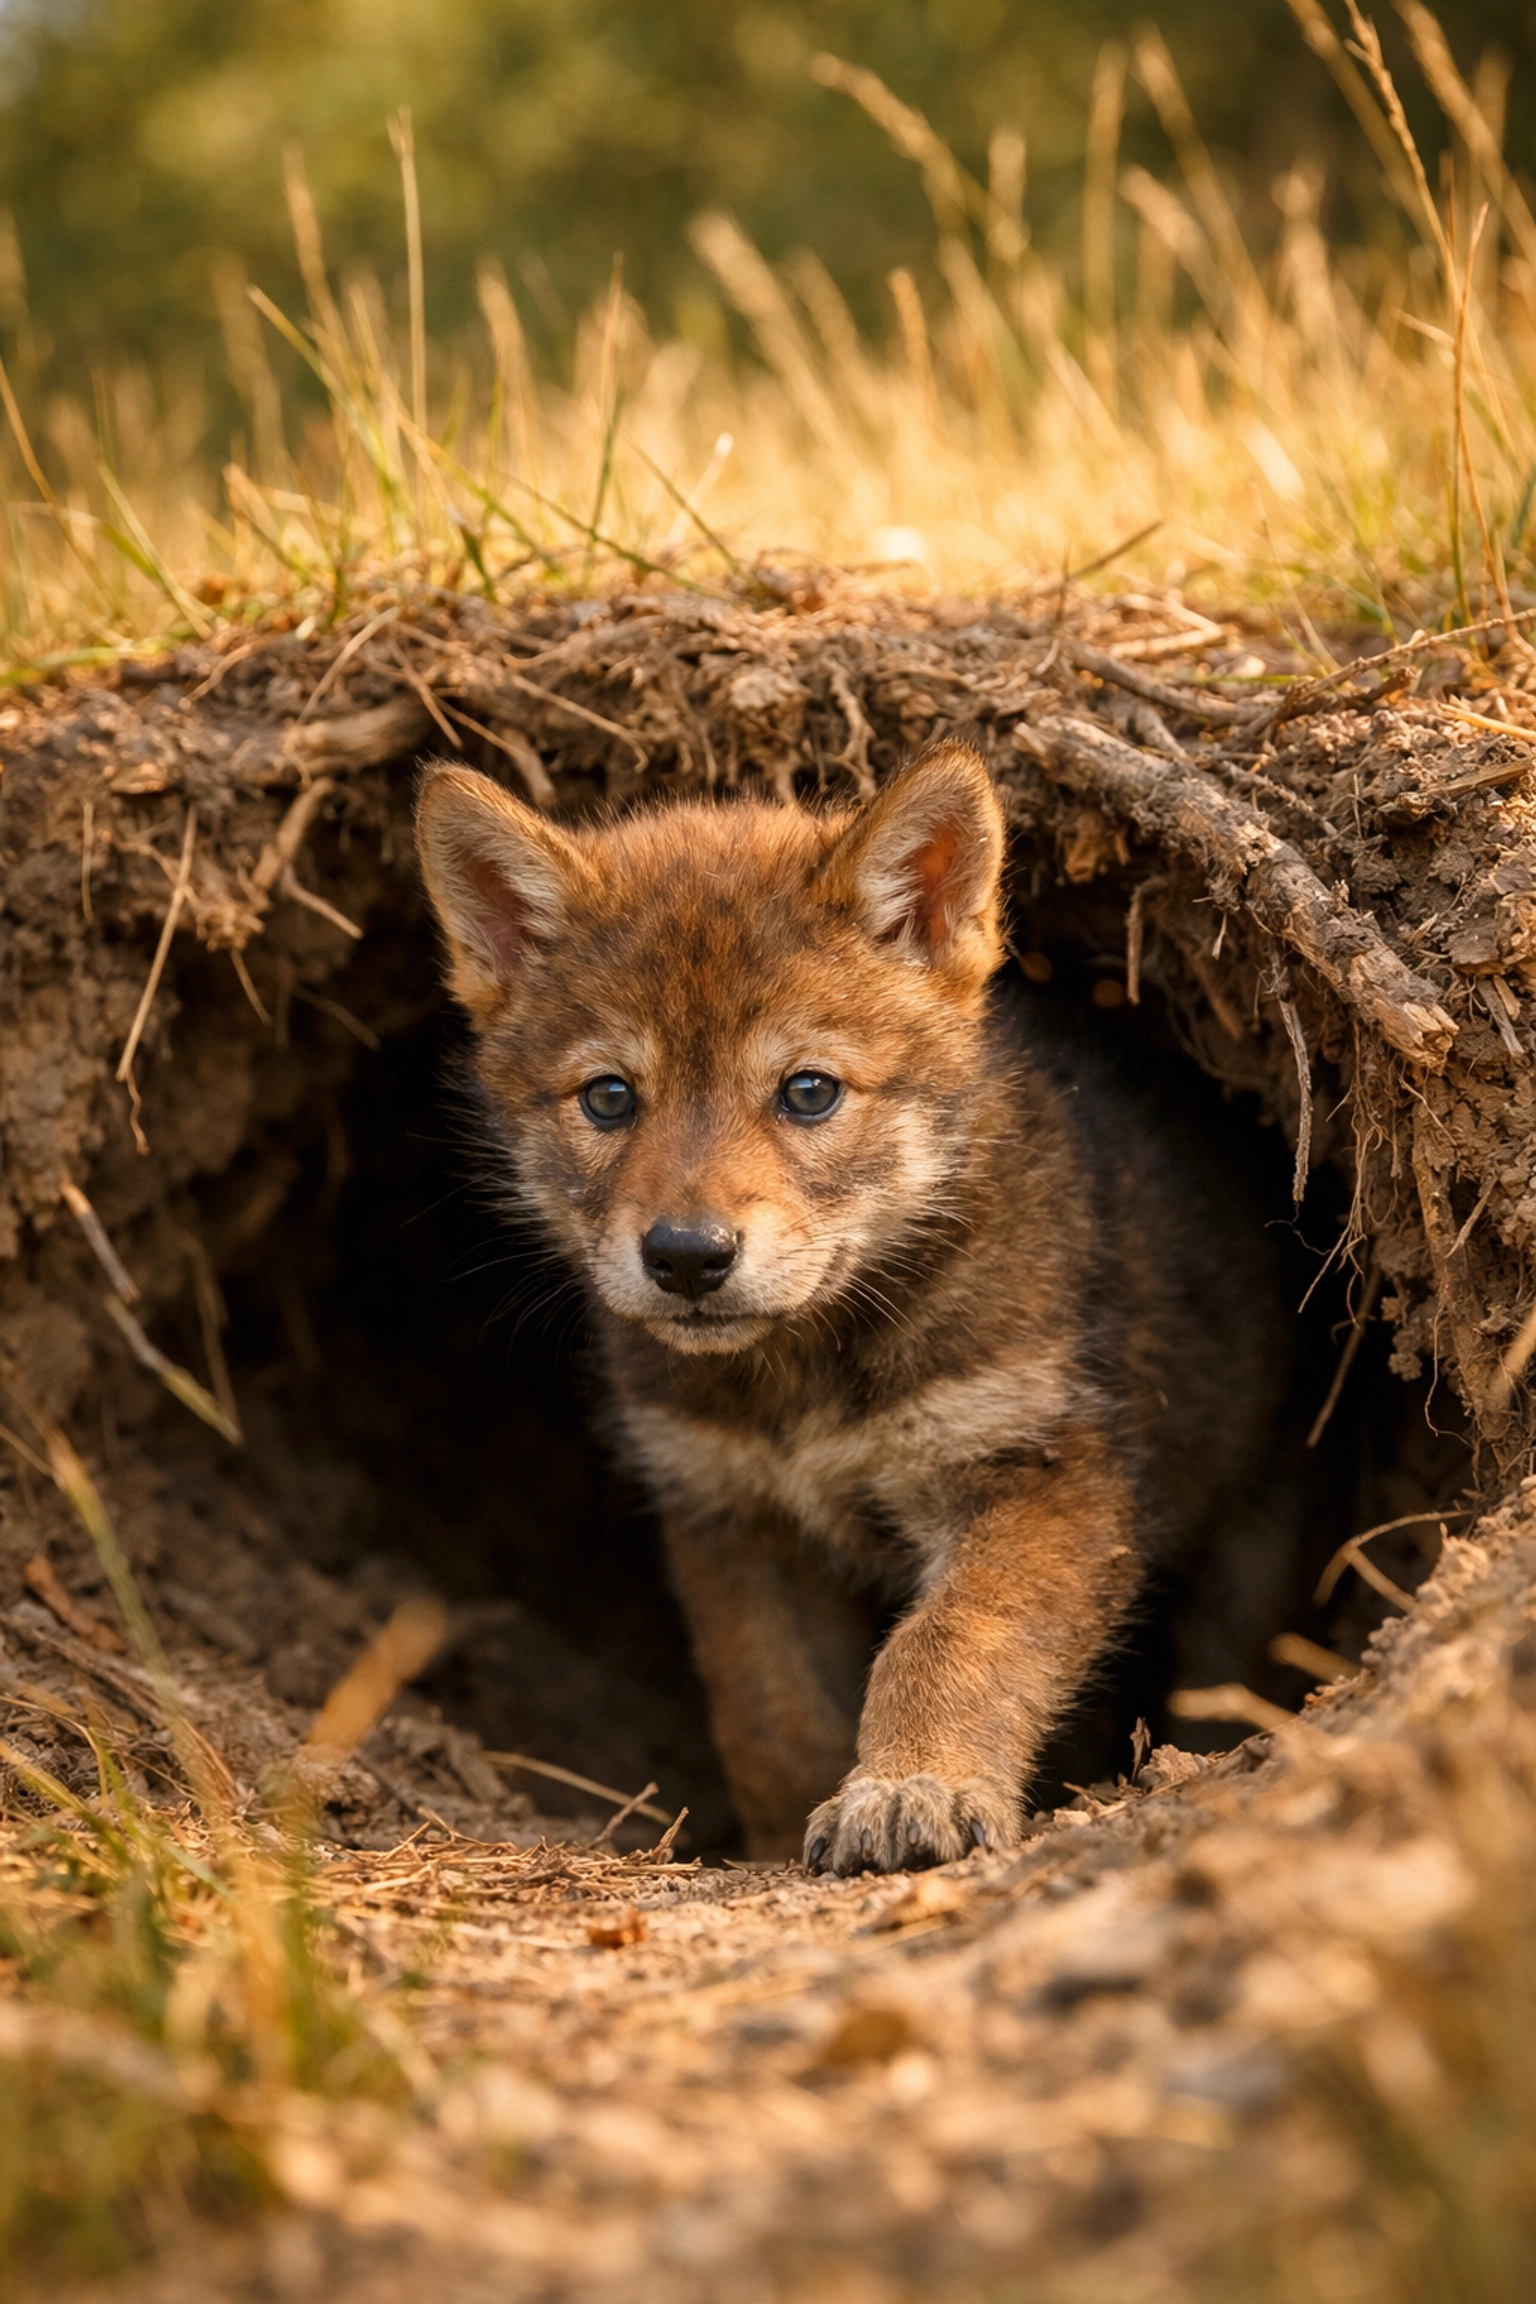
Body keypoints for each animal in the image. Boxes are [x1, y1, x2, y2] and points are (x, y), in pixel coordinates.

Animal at [416, 742, 1292, 1874]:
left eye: (809, 1091)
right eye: (609, 1098)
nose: (687, 1257)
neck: (808, 1380)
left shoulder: (1042, 1476)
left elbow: (946, 1642)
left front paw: (913, 1789)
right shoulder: (729, 1515)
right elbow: (770, 1710)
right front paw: (779, 1836)